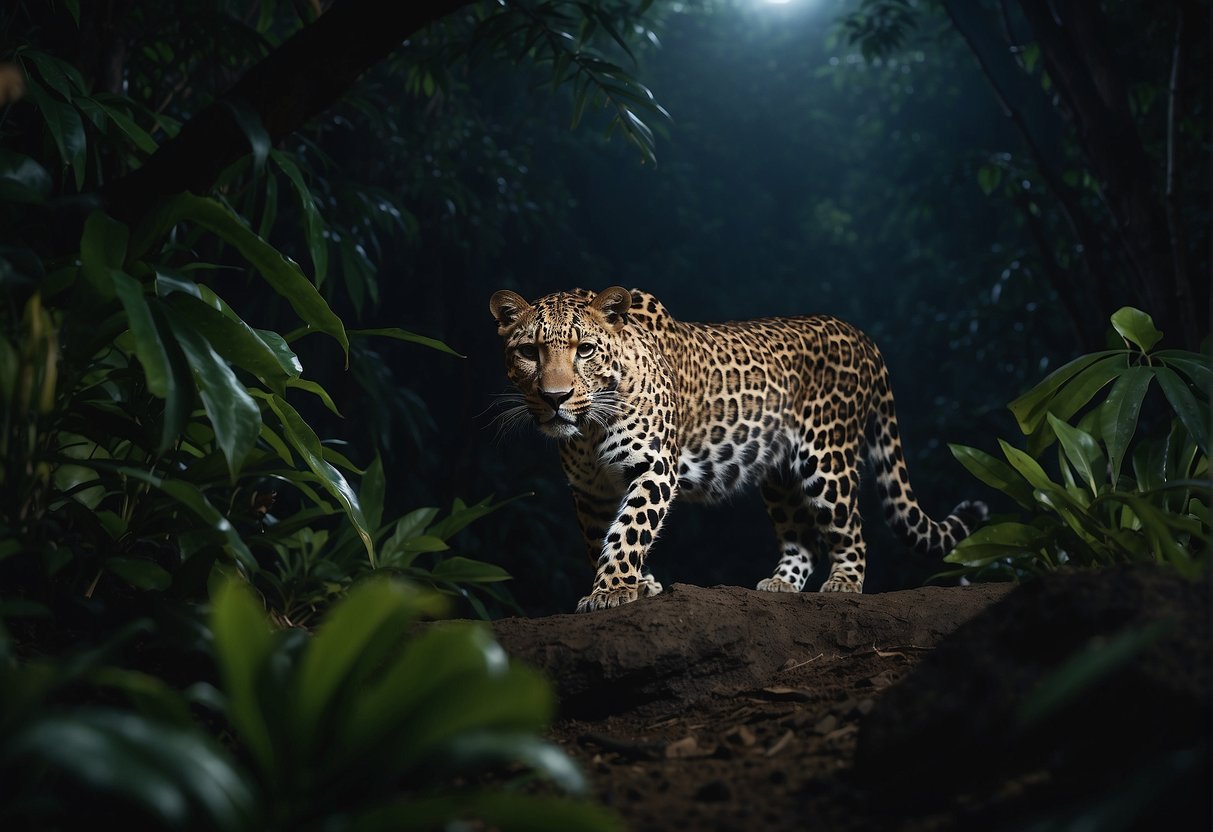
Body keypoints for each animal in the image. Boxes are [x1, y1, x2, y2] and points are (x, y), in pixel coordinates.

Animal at [489, 286, 988, 613]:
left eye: (586, 350)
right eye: (530, 352)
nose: (555, 397)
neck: (589, 429)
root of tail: (860, 334)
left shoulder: (654, 467)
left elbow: (629, 530)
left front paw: (611, 590)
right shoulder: (590, 492)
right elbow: (601, 538)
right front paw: (636, 585)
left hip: (827, 457)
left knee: (851, 529)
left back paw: (844, 584)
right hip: (781, 474)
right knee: (803, 538)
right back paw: (781, 584)